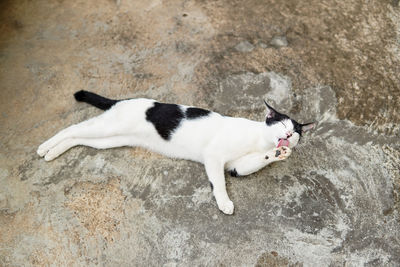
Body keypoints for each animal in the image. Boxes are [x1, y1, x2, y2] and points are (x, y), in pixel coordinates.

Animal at [37, 91, 314, 215]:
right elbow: (219, 183)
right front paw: (224, 202)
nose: (289, 134)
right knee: (73, 128)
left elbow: (256, 162)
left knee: (78, 139)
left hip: (109, 140)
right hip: (109, 127)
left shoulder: (236, 166)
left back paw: (52, 153)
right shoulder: (214, 156)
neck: (259, 141)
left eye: (296, 132)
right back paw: (44, 147)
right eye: (282, 124)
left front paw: (279, 155)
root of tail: (123, 100)